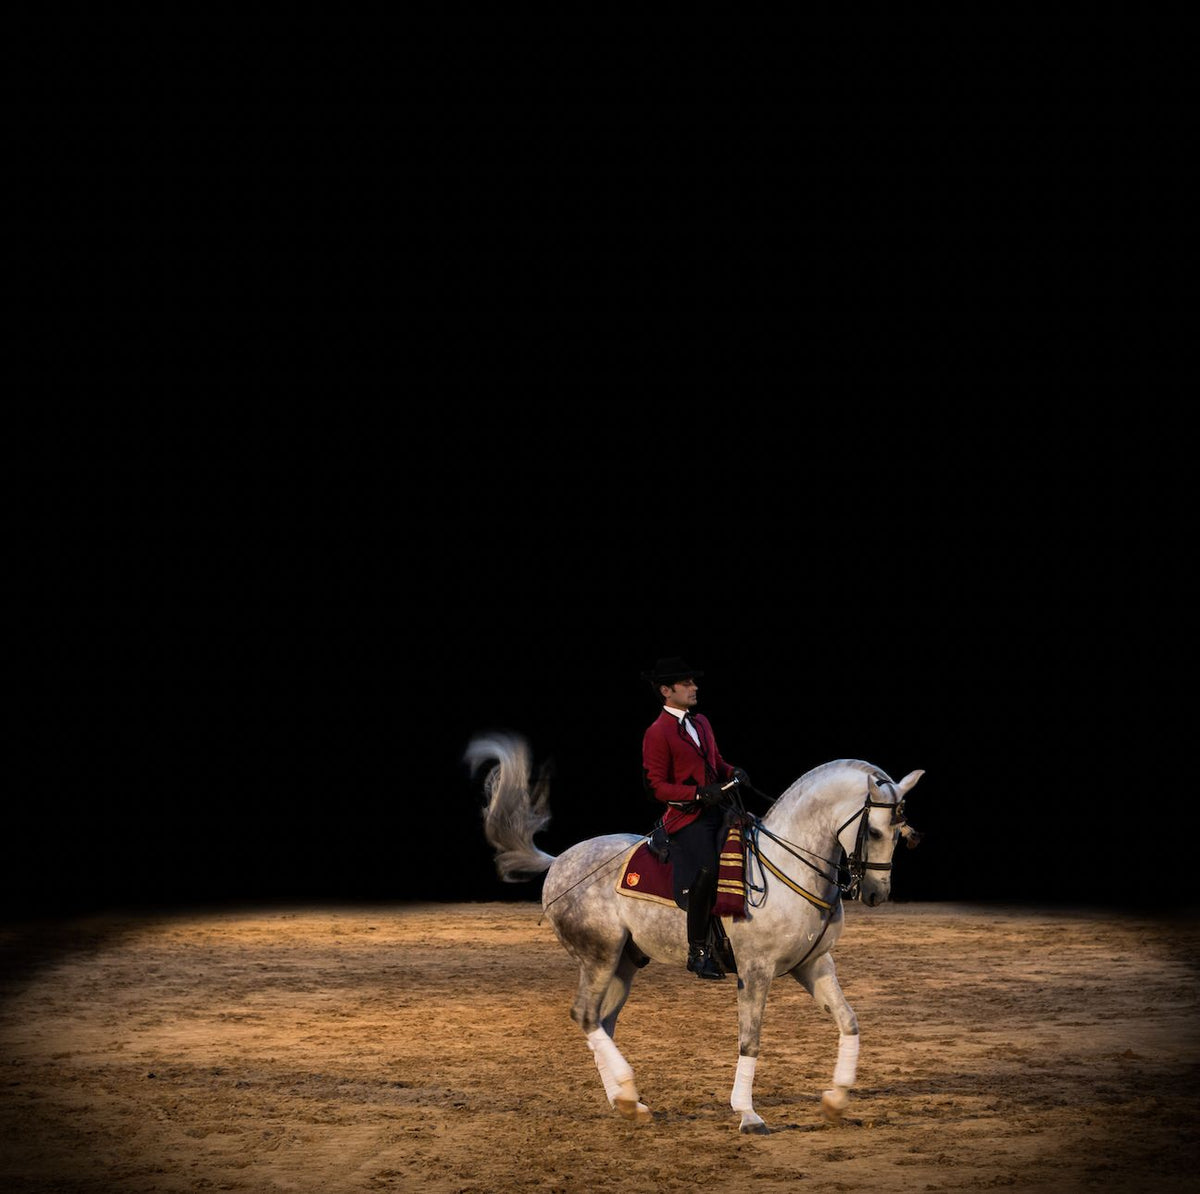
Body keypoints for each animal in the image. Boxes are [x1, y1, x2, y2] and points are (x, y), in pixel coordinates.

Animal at [464, 732, 924, 1134]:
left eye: (900, 833)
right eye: (875, 831)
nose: (876, 893)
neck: (788, 864)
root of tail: (560, 860)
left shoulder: (813, 964)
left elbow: (849, 1022)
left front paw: (836, 1101)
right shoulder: (755, 970)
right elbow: (750, 1041)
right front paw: (748, 1115)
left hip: (623, 963)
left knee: (602, 1022)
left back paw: (627, 1103)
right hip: (599, 955)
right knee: (586, 1016)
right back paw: (627, 1093)